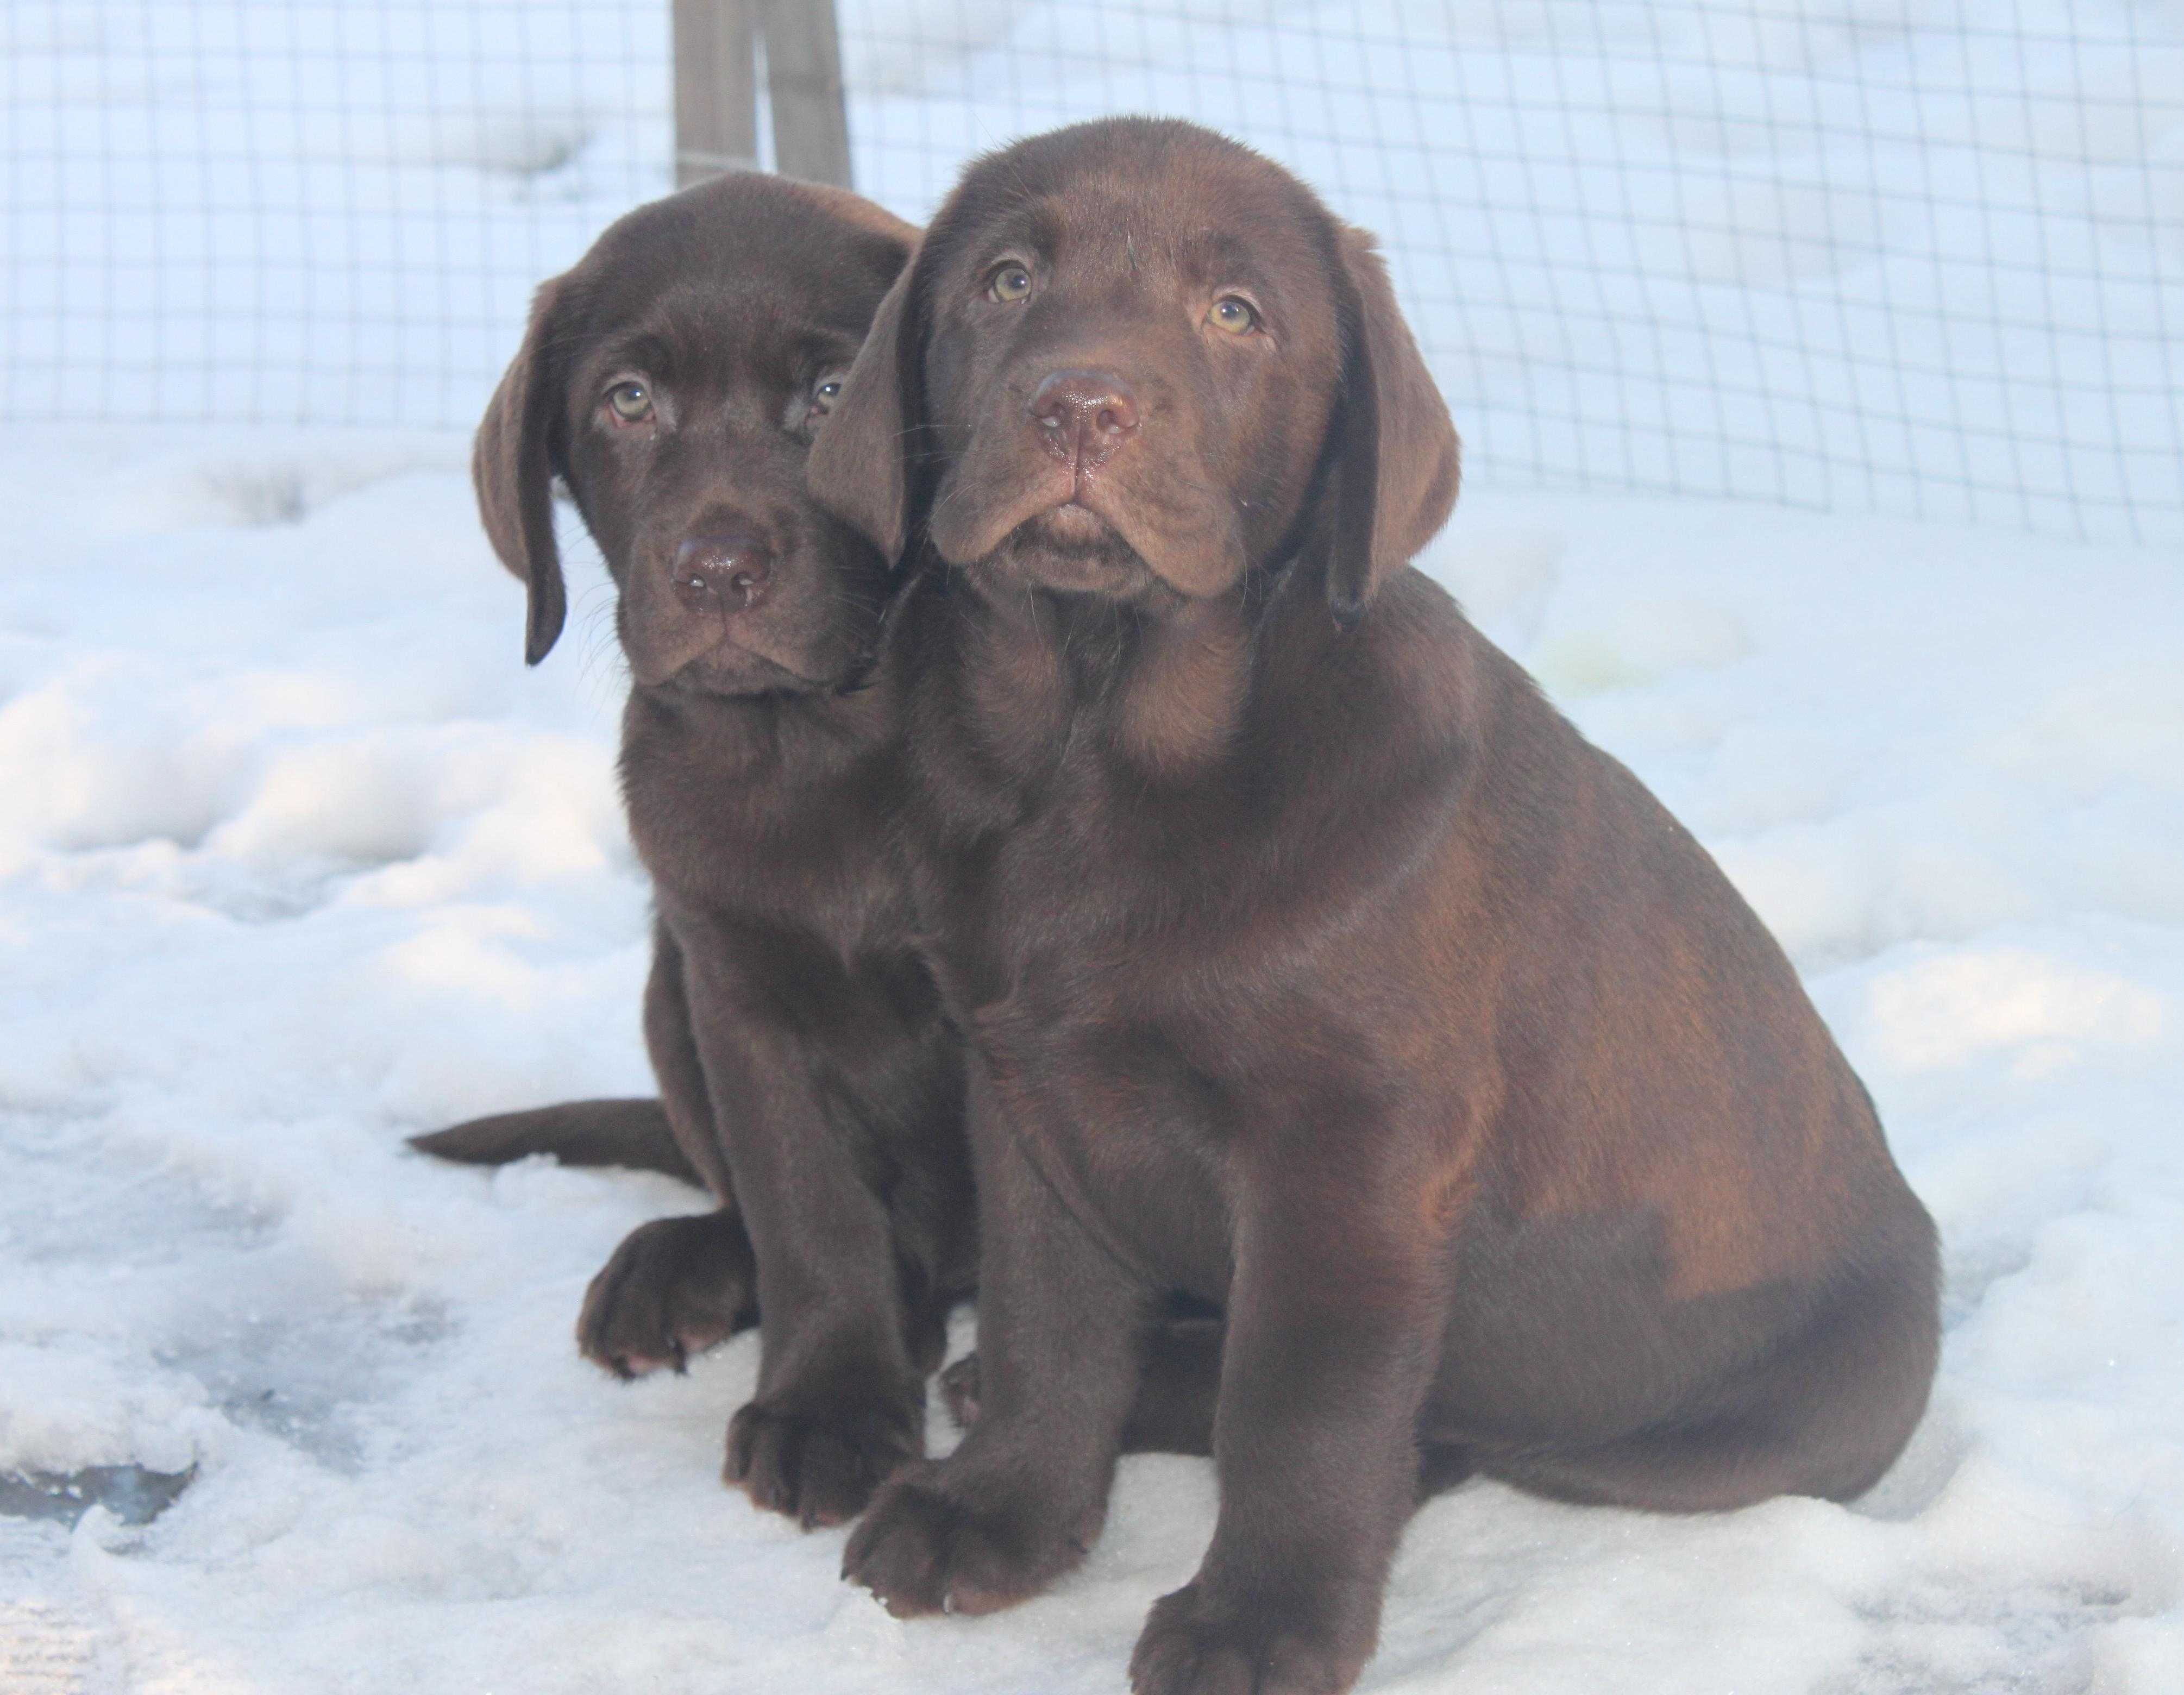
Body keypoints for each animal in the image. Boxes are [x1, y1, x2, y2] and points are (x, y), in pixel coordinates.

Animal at [412, 175, 978, 1537]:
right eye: (629, 401)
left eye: (830, 394)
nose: (719, 571)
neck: (806, 744)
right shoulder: (739, 992)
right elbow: (803, 1205)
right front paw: (832, 1402)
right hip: (665, 982)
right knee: (740, 1205)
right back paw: (681, 1272)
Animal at [812, 112, 1939, 1686]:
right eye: (1006, 280)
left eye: (1235, 313)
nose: (1082, 405)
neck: (1097, 748)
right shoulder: (1025, 1088)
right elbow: (1050, 1317)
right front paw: (999, 1514)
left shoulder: (1351, 1153)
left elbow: (1303, 1406)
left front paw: (1258, 1625)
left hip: (1735, 1425)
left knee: (1447, 1431)